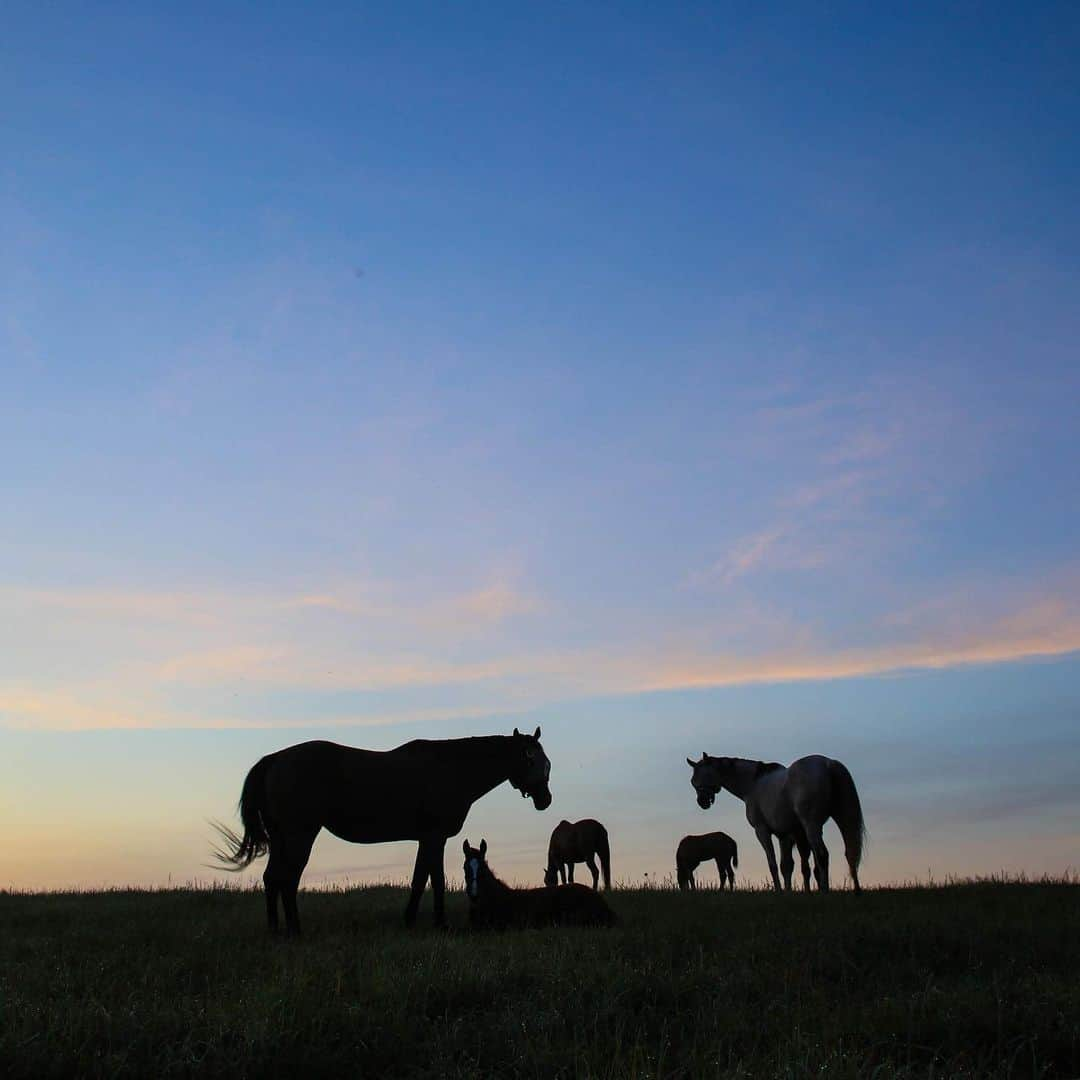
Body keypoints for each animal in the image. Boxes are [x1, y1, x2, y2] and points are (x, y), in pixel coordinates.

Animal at [212, 725, 548, 937]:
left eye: (545, 762)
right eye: (530, 759)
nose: (545, 800)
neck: (449, 770)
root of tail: (274, 760)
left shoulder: (427, 839)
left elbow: (421, 879)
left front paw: (411, 921)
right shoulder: (434, 837)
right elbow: (435, 880)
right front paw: (437, 924)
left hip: (283, 838)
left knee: (272, 879)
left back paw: (276, 930)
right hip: (299, 836)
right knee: (287, 879)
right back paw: (295, 930)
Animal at [686, 751, 864, 894]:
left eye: (701, 776)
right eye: (693, 782)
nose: (702, 802)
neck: (753, 784)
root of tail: (828, 764)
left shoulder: (762, 831)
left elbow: (773, 864)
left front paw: (779, 890)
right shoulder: (784, 835)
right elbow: (786, 865)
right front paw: (787, 891)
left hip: (811, 824)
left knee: (822, 854)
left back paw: (825, 891)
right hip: (839, 818)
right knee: (850, 853)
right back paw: (856, 890)